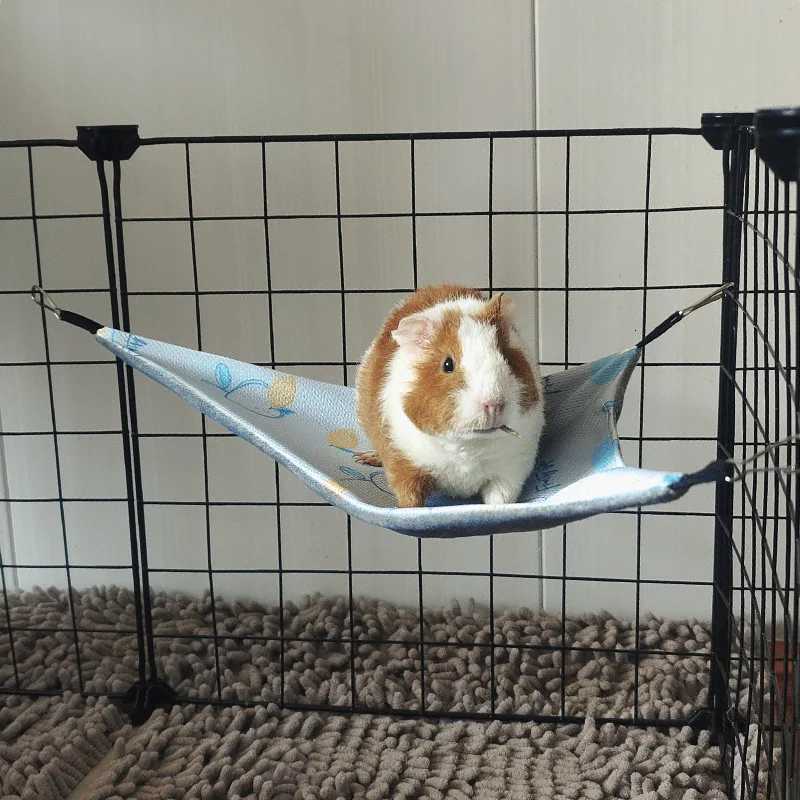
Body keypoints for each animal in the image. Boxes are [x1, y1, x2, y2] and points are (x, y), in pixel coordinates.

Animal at [356, 285, 544, 507]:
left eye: (507, 358)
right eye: (447, 364)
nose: (493, 405)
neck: (469, 446)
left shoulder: (510, 473)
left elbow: (499, 499)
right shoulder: (403, 465)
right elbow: (410, 498)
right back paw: (364, 458)